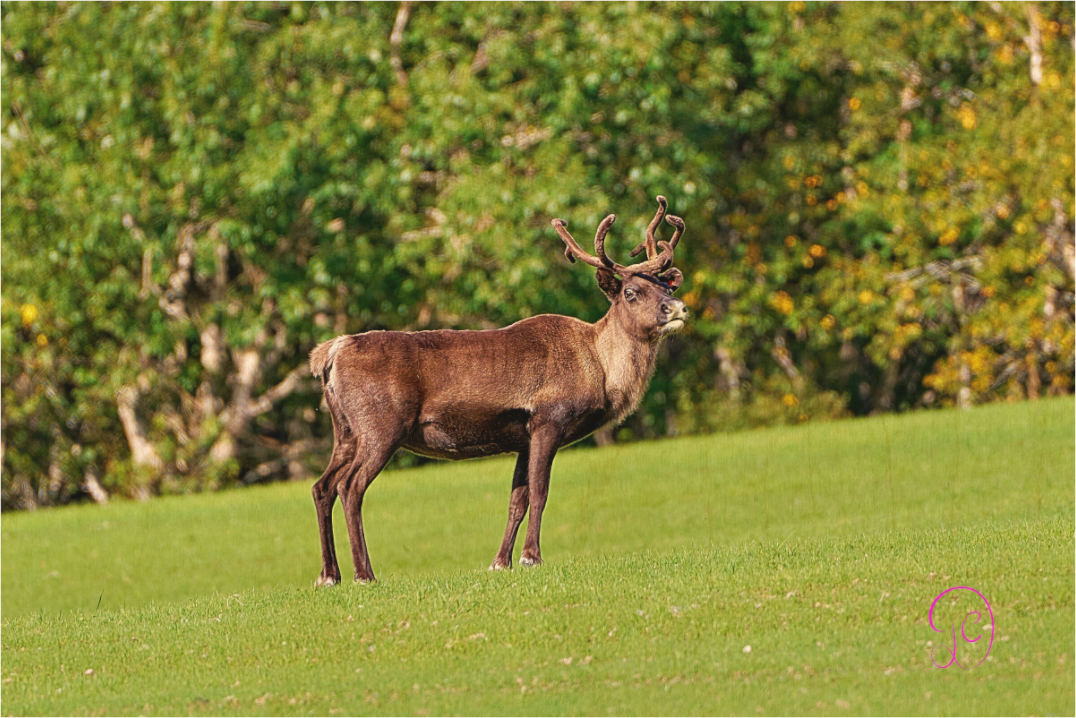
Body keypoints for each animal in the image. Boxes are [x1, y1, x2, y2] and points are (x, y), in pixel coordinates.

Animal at [307, 196, 688, 585]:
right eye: (630, 292)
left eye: (668, 288)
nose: (678, 308)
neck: (599, 368)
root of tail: (330, 353)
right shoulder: (548, 419)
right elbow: (540, 492)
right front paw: (531, 556)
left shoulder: (522, 436)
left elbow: (516, 500)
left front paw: (500, 561)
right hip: (381, 427)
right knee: (350, 487)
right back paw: (363, 573)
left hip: (346, 430)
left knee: (322, 486)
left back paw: (329, 575)